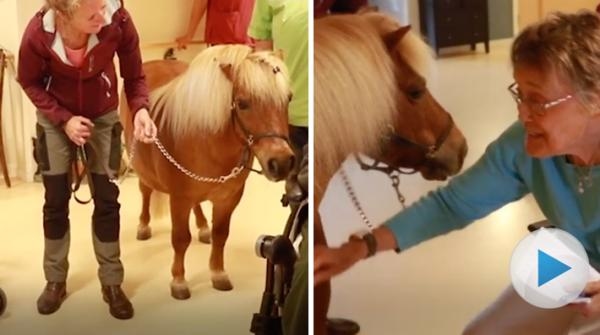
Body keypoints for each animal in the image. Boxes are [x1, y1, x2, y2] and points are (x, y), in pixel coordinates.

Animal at [120, 44, 296, 300]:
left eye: (288, 98)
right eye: (242, 103)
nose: (281, 162)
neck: (207, 141)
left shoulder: (228, 199)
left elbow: (221, 235)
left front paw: (218, 273)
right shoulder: (179, 199)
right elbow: (180, 239)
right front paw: (179, 281)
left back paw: (203, 226)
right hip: (143, 168)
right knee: (146, 191)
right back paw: (144, 226)